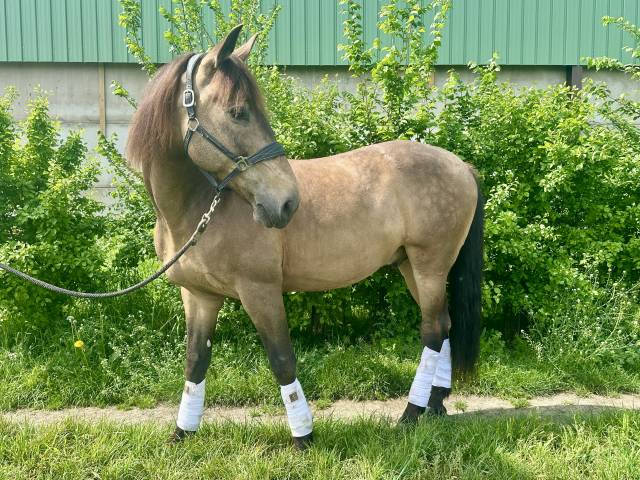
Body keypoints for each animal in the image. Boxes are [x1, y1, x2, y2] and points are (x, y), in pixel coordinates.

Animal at [126, 25, 484, 449]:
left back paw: (411, 414)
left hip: (429, 265)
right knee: (443, 324)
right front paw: (182, 432)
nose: (286, 203)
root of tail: (461, 165)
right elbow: (196, 362)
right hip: (412, 267)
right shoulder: (199, 296)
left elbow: (281, 359)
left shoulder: (260, 292)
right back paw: (435, 403)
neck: (199, 210)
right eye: (238, 112)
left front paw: (304, 437)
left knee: (431, 330)